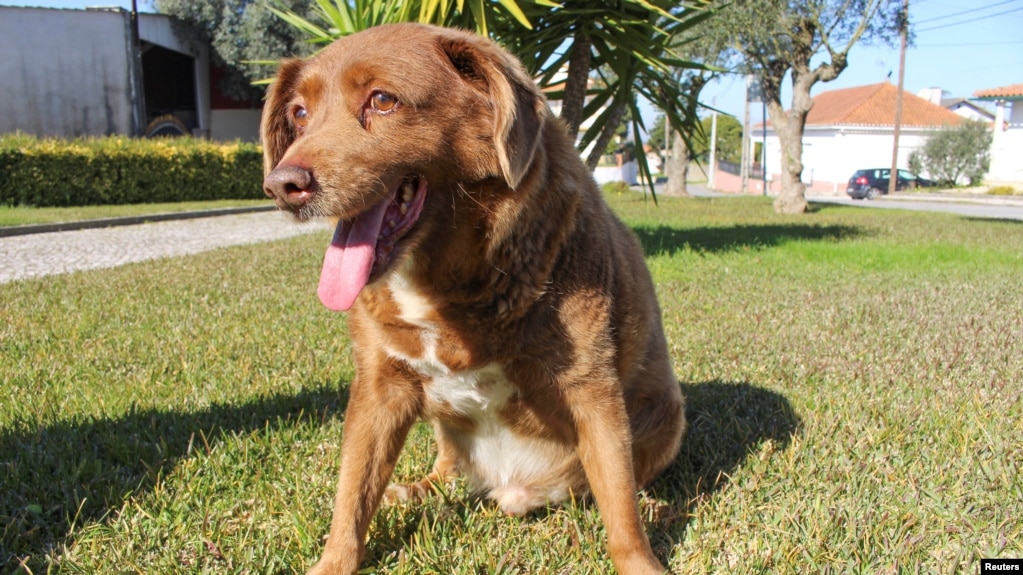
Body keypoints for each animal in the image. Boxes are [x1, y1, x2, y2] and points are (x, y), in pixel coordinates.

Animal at [259, 23, 683, 572]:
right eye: (300, 114)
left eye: (383, 100)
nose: (281, 185)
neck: (444, 282)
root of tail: (510, 485)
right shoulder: (379, 387)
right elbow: (351, 495)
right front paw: (333, 562)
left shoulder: (591, 388)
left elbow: (621, 509)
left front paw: (642, 561)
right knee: (445, 471)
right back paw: (414, 489)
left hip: (666, 416)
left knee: (617, 484)